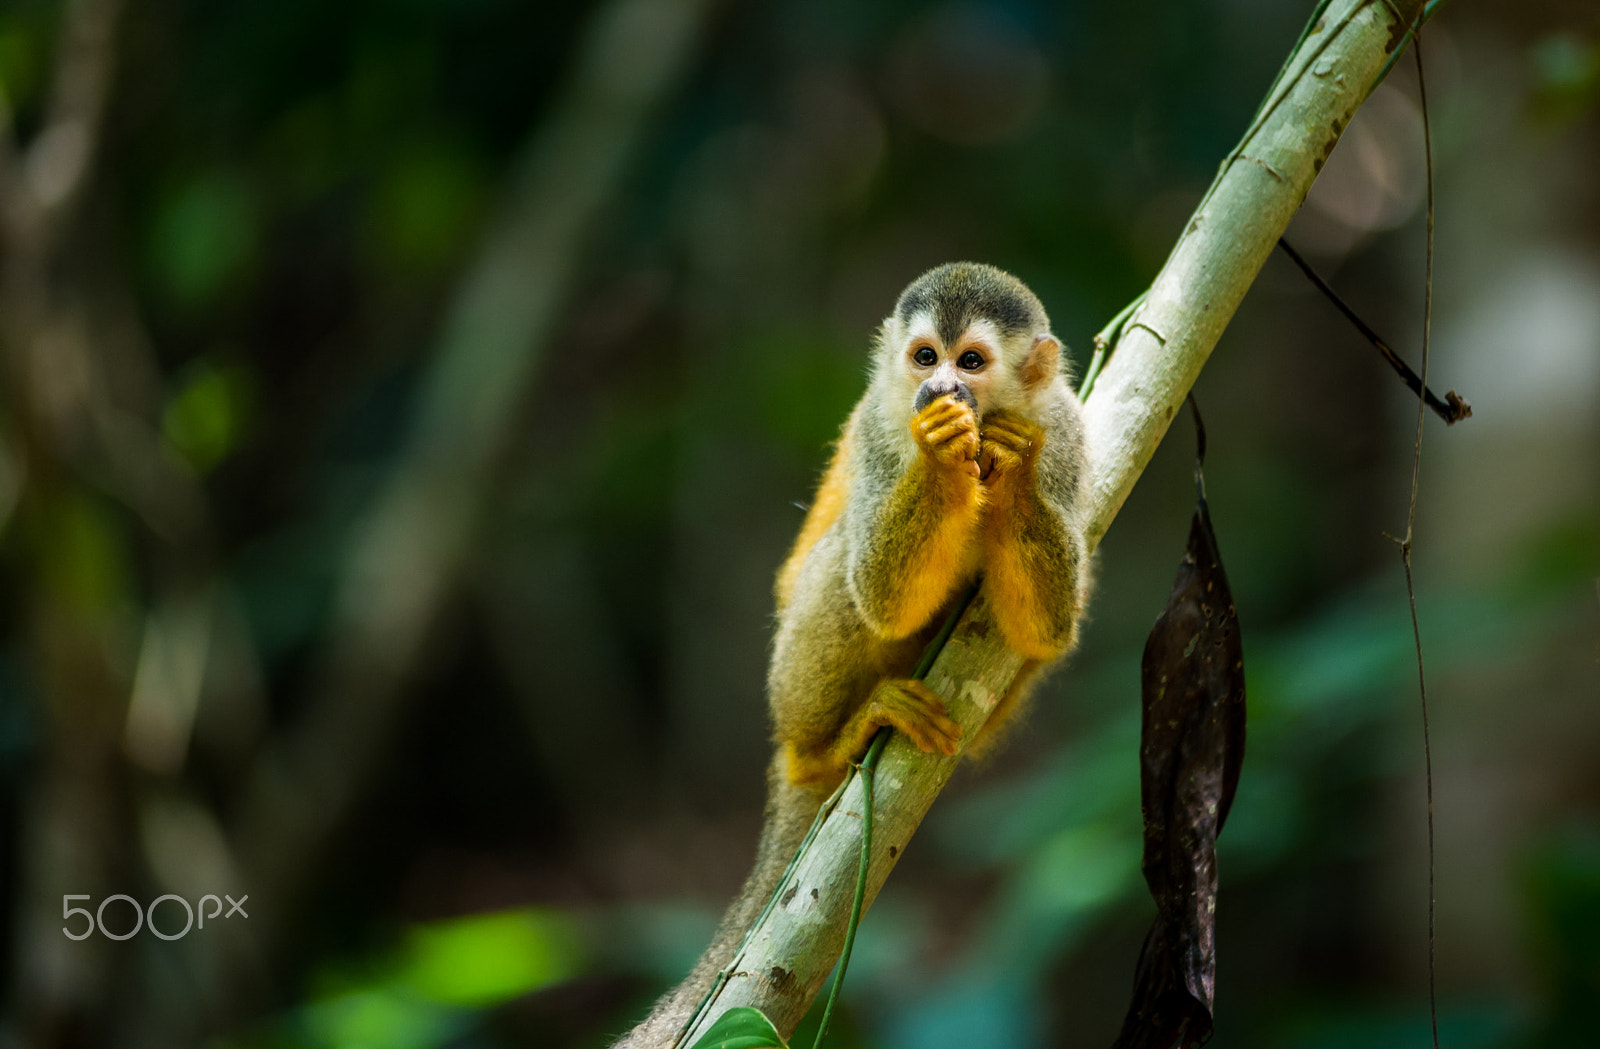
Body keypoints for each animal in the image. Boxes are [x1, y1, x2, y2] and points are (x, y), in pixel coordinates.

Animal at [614, 262, 1090, 1048]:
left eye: (971, 362)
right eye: (926, 358)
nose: (940, 388)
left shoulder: (1069, 432)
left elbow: (1049, 631)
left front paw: (1014, 466)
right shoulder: (876, 426)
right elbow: (878, 593)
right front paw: (936, 446)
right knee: (841, 564)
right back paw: (826, 749)